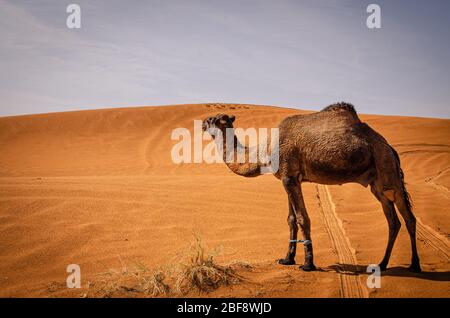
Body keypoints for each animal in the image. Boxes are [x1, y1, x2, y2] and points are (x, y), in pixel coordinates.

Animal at [203, 103, 422, 272]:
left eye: (213, 119)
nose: (203, 123)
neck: (266, 149)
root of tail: (391, 148)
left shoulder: (289, 177)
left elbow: (302, 218)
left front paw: (308, 264)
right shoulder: (289, 178)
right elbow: (291, 219)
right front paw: (287, 259)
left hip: (388, 172)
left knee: (408, 218)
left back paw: (415, 265)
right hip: (377, 184)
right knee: (394, 221)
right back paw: (383, 264)